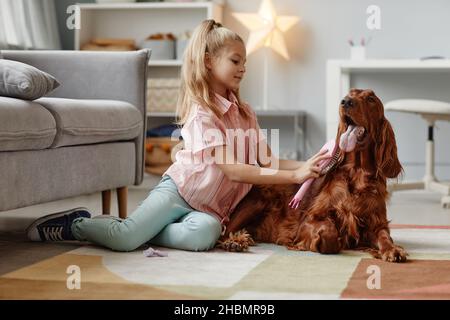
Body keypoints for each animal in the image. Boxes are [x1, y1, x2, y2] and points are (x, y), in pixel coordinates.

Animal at [218, 88, 408, 262]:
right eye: (350, 94)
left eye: (370, 99)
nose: (345, 101)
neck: (357, 173)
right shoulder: (309, 219)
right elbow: (330, 233)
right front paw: (320, 242)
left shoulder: (376, 223)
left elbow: (385, 236)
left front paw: (393, 250)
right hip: (257, 201)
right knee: (222, 234)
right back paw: (235, 242)